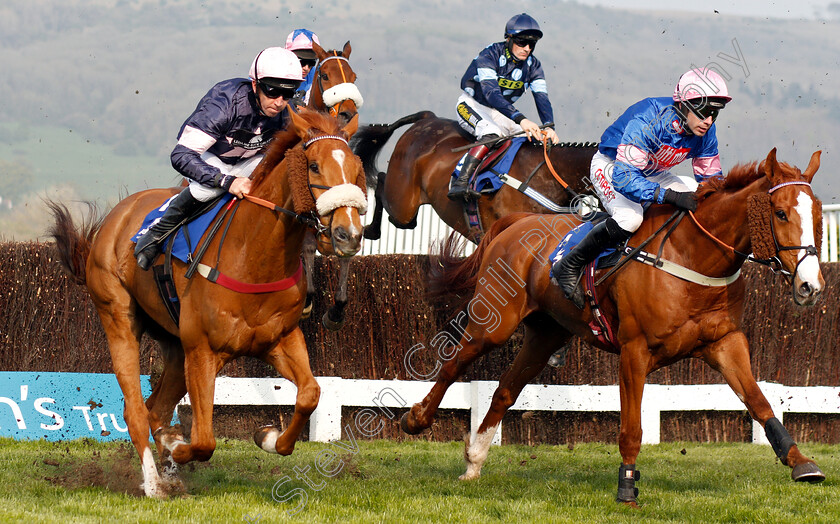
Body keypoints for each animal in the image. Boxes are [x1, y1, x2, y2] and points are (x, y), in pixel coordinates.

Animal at [46, 108, 368, 498]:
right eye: (315, 166)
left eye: (356, 167)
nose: (348, 235)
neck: (255, 256)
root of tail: (117, 215)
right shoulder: (202, 350)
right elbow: (203, 441)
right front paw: (175, 445)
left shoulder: (280, 339)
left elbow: (310, 394)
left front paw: (267, 437)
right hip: (119, 320)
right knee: (136, 412)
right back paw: (154, 483)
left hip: (174, 345)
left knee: (156, 409)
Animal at [402, 146, 828, 504]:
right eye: (781, 213)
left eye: (818, 215)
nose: (811, 286)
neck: (692, 256)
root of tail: (516, 222)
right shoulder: (634, 350)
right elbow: (632, 427)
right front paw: (627, 487)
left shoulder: (725, 341)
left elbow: (759, 401)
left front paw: (801, 462)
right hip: (494, 323)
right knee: (454, 364)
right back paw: (416, 419)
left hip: (545, 334)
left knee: (504, 391)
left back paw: (474, 461)